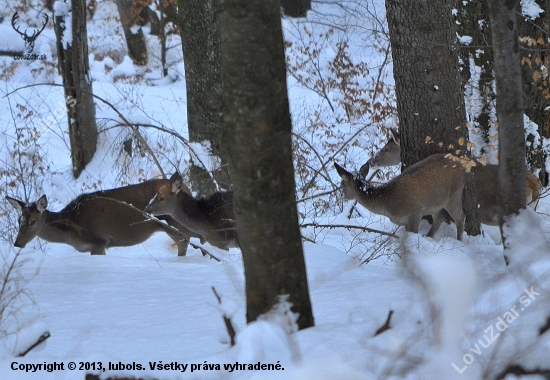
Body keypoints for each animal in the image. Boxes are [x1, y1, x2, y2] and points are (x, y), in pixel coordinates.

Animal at [4, 178, 201, 255]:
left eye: (32, 221)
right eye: (19, 220)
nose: (17, 243)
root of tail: (186, 187)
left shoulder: (98, 241)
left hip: (174, 221)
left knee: (187, 240)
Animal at [334, 152, 468, 239]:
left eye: (342, 184)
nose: (342, 196)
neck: (388, 206)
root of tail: (462, 164)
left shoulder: (416, 210)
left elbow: (414, 232)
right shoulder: (405, 220)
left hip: (455, 193)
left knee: (460, 217)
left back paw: (459, 240)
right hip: (436, 202)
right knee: (439, 218)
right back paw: (429, 237)